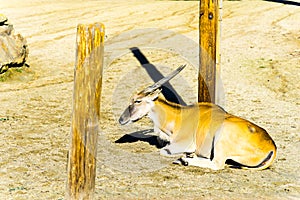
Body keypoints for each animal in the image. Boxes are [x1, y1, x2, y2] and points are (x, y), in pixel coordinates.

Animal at [119, 64, 276, 170]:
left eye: (137, 101)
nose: (121, 119)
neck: (178, 117)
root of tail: (271, 147)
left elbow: (164, 151)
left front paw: (185, 157)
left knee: (217, 164)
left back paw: (184, 160)